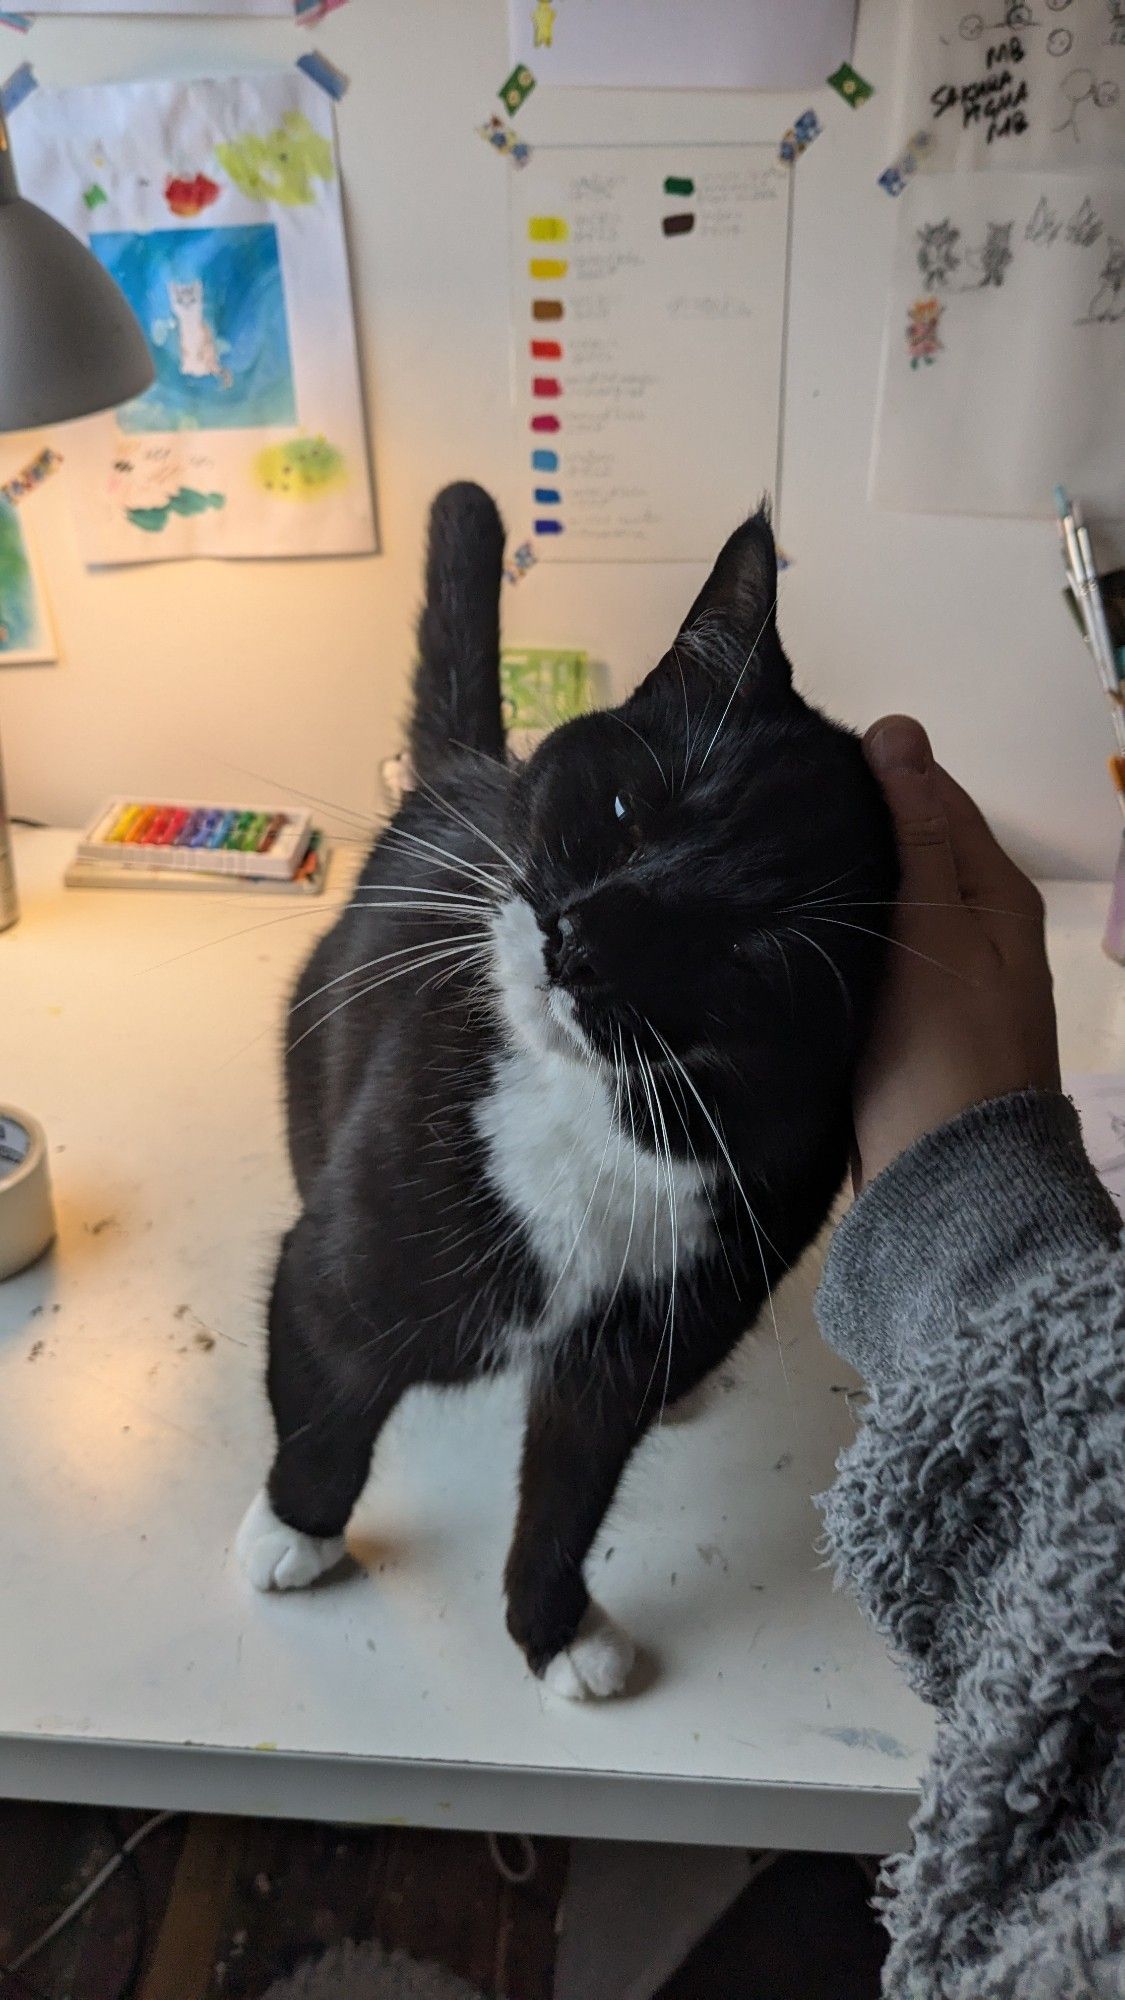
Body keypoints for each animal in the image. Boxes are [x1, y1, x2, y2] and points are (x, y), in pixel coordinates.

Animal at [234, 484, 892, 1704]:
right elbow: (327, 1379)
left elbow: (573, 1485)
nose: (579, 940)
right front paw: (295, 1529)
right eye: (628, 807)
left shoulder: (646, 1321)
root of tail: (458, 772)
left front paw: (556, 1627)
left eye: (748, 950)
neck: (590, 1120)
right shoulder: (350, 1252)